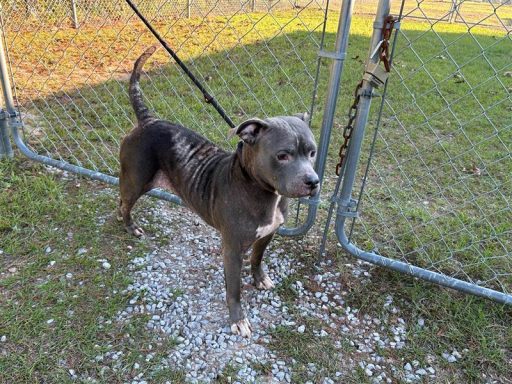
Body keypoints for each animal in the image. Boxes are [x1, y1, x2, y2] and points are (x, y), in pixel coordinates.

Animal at [121, 46, 320, 338]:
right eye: (283, 155)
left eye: (312, 152)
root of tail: (149, 120)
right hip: (135, 181)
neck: (259, 188)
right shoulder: (232, 249)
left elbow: (258, 258)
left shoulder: (267, 234)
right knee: (123, 203)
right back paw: (130, 226)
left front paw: (260, 279)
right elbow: (234, 288)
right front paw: (238, 319)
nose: (313, 181)